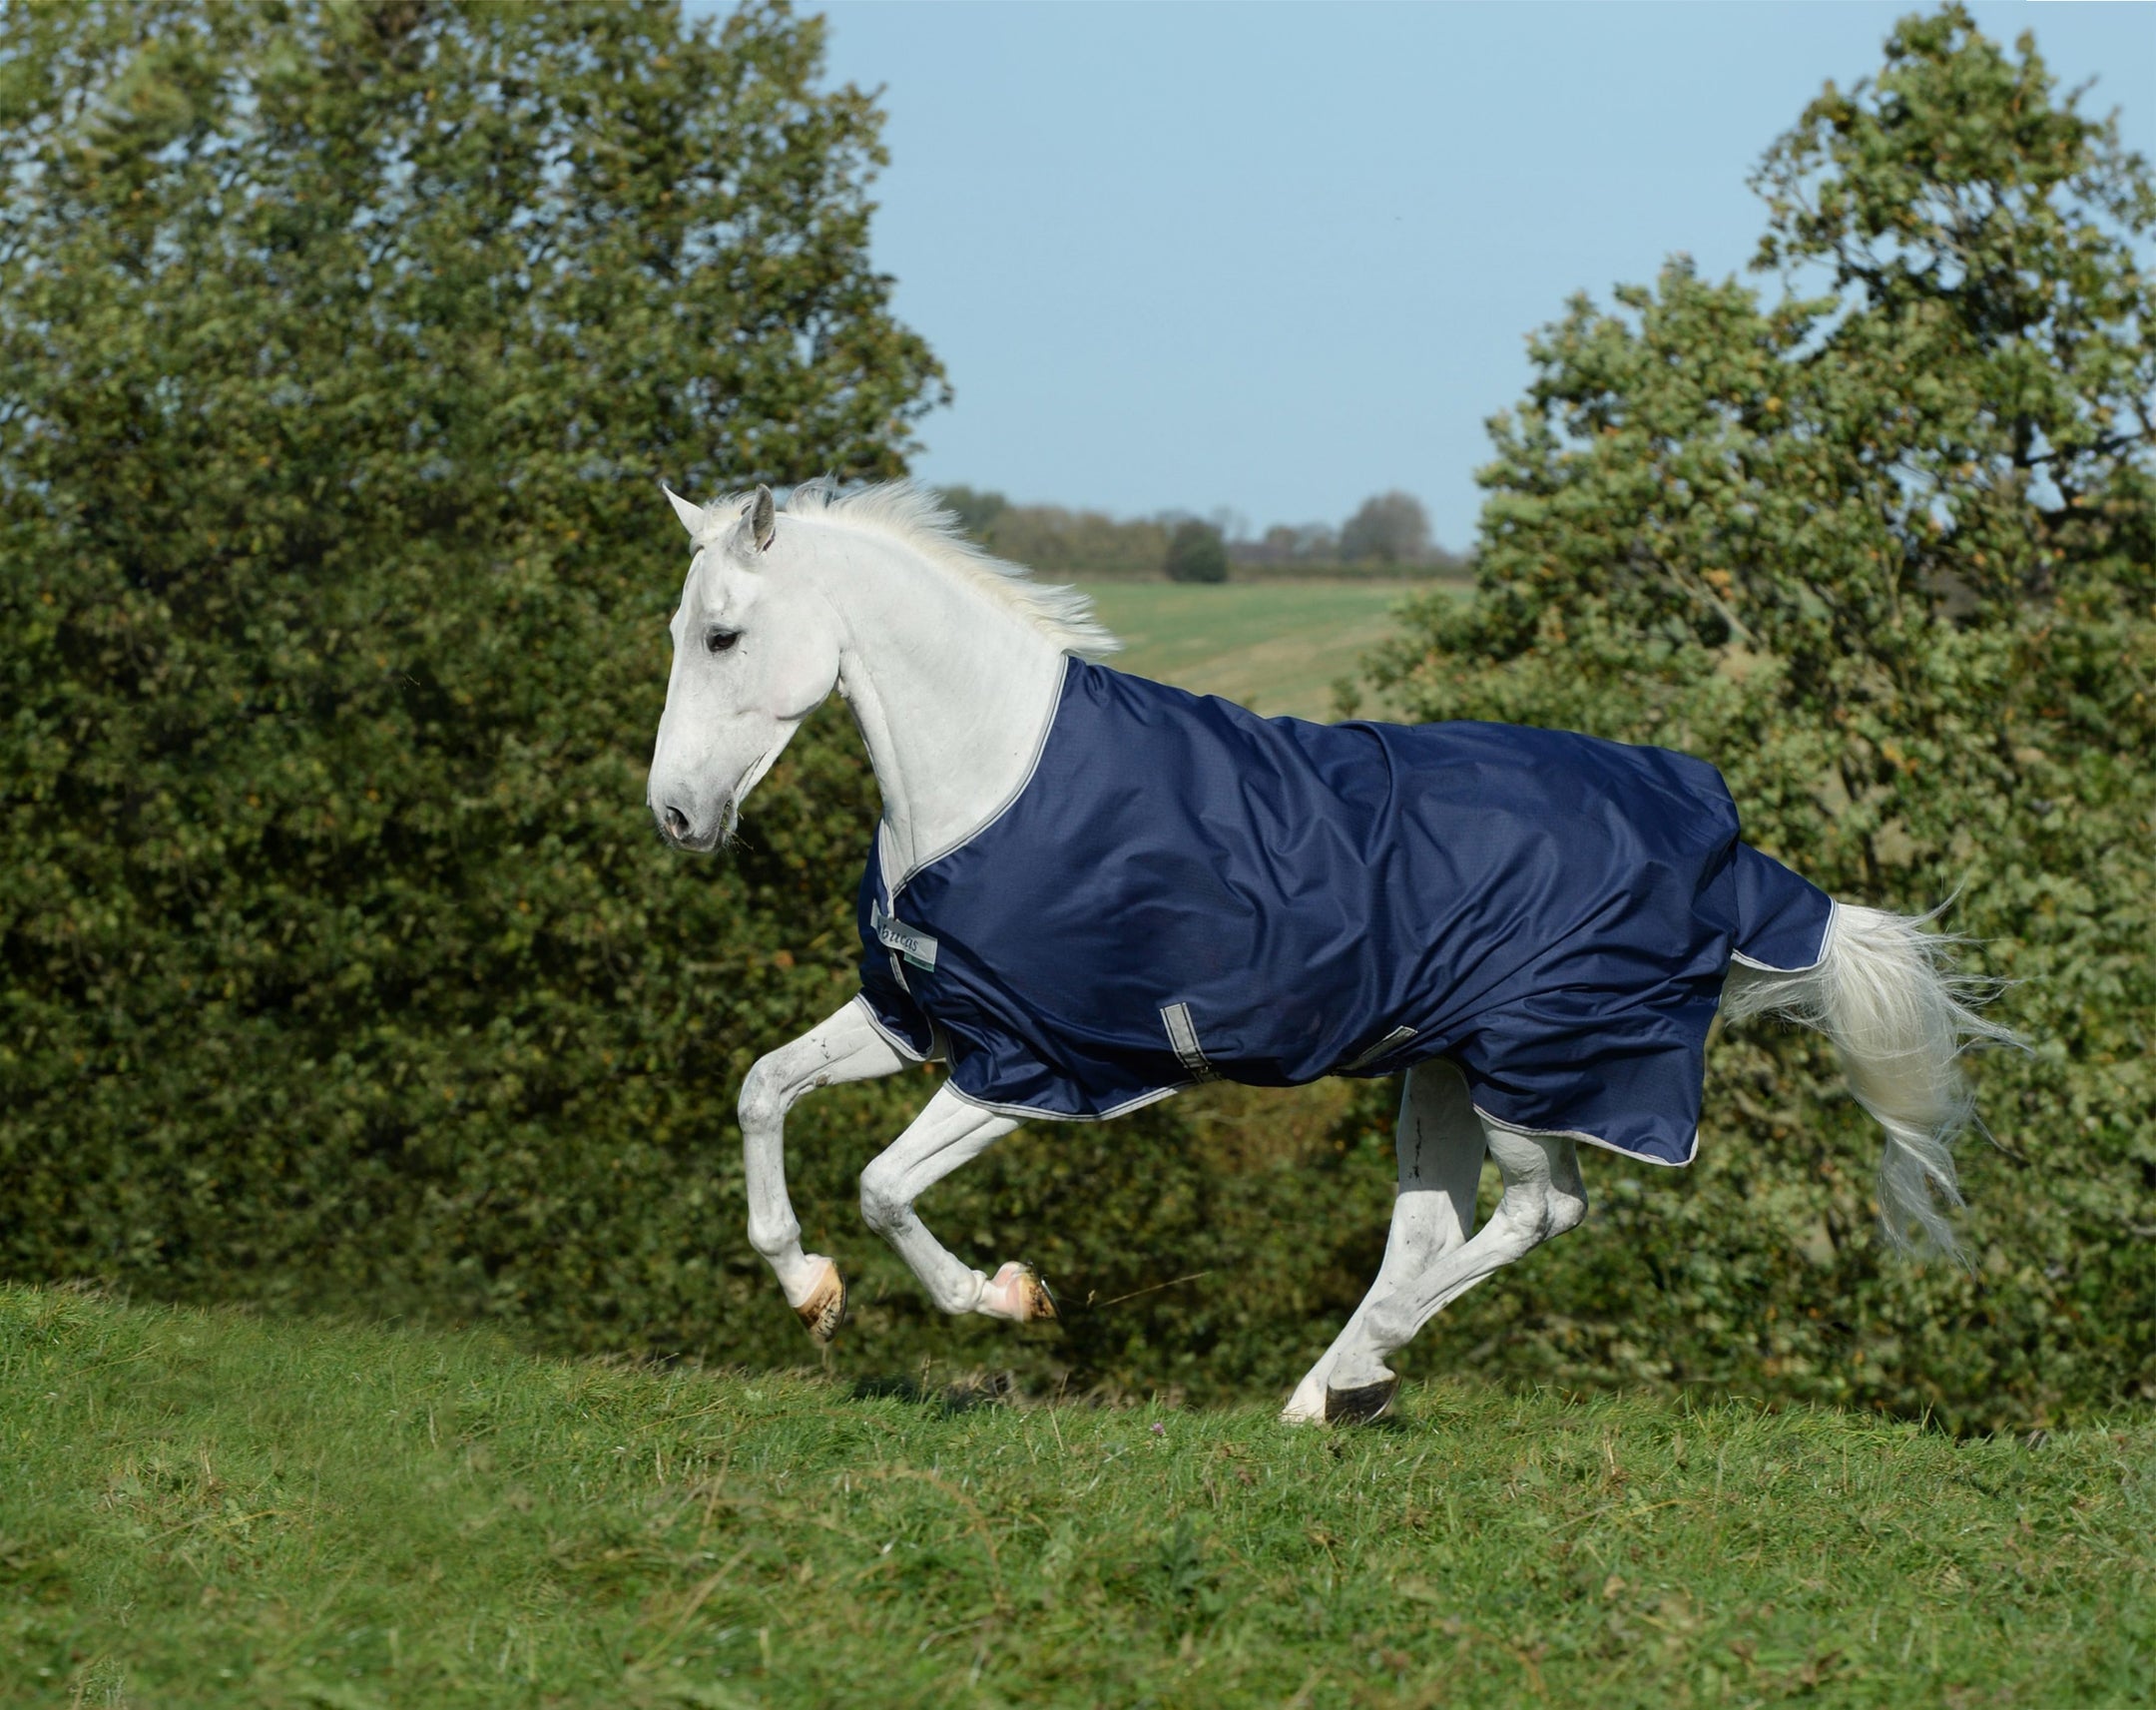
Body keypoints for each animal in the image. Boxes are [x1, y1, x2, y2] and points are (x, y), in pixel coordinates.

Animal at [638, 476, 2000, 1415]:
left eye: (722, 636)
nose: (677, 818)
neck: (994, 780)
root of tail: (1729, 850)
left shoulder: (1037, 1065)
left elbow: (882, 1185)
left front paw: (1005, 1297)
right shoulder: (919, 1017)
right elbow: (761, 1090)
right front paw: (808, 1290)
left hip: (1530, 1071)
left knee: (1542, 1213)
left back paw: (1360, 1371)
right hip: (1442, 1069)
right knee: (1437, 1229)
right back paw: (1328, 1394)